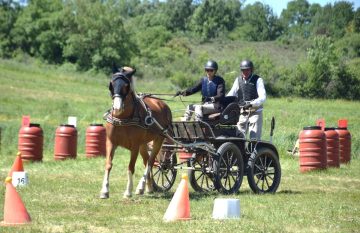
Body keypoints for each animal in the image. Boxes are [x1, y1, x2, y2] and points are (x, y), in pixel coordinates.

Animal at [98, 67, 172, 198]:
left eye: (126, 86)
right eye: (111, 84)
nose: (117, 108)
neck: (123, 118)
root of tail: (163, 104)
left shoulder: (135, 146)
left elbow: (130, 167)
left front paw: (128, 191)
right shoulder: (110, 142)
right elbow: (108, 165)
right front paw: (104, 191)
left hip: (159, 139)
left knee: (150, 162)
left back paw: (141, 186)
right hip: (143, 144)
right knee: (147, 161)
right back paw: (147, 188)